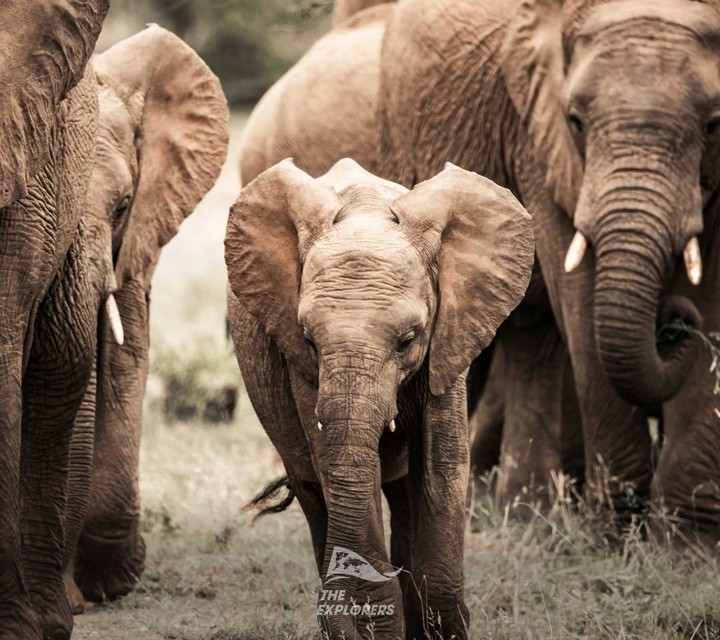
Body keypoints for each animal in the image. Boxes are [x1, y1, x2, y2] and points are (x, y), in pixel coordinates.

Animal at [225, 157, 534, 639]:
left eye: (408, 340)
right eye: (309, 340)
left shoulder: (449, 338)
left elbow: (442, 464)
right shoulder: (299, 363)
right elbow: (340, 465)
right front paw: (375, 621)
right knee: (314, 492)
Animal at [378, 0, 720, 545]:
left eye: (713, 126)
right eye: (576, 121)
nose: (675, 321)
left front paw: (684, 547)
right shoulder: (537, 133)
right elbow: (577, 289)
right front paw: (619, 534)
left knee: (531, 334)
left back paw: (523, 513)